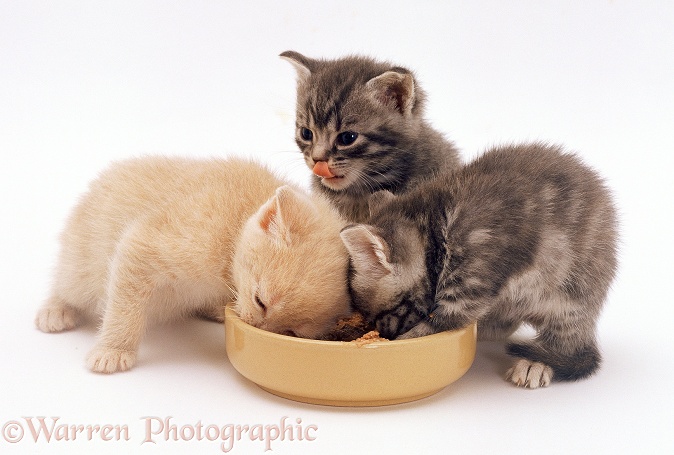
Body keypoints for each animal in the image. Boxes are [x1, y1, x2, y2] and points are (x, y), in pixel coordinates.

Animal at [35, 157, 352, 374]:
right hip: (82, 265)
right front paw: (113, 350)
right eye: (260, 301)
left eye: (290, 332)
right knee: (67, 284)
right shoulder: (145, 244)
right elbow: (124, 309)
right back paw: (54, 311)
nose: (256, 325)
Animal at [338, 143, 616, 388]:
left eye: (379, 317)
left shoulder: (466, 291)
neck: (435, 228)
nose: (382, 334)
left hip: (571, 299)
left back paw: (536, 362)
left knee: (567, 344)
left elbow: (425, 330)